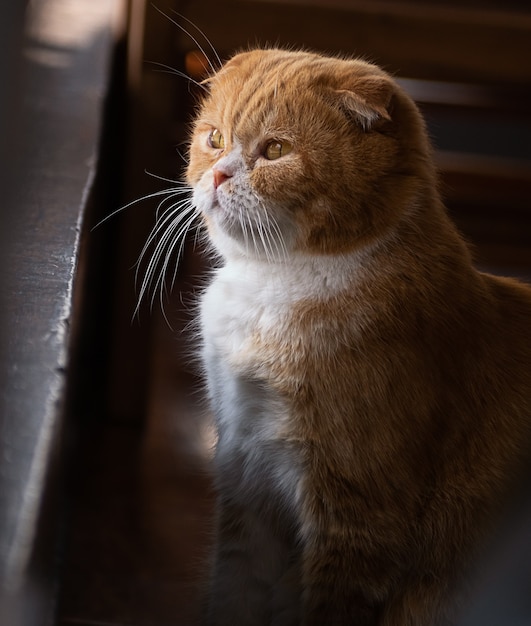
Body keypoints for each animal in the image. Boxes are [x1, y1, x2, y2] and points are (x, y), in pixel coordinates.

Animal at [181, 48, 528, 624]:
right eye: (214, 138)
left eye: (276, 150)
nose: (218, 175)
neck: (272, 287)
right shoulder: (244, 474)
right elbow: (235, 586)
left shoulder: (359, 514)